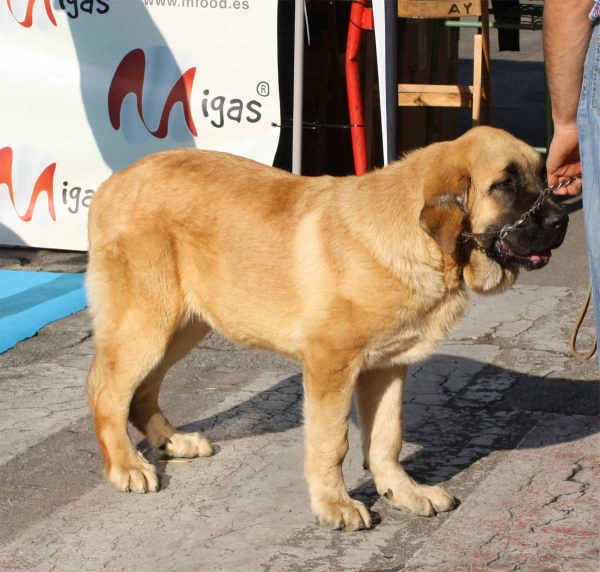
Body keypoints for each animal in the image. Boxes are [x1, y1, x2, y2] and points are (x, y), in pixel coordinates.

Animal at [84, 126, 568, 532]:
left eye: (542, 175)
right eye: (505, 185)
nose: (561, 220)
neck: (423, 242)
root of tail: (108, 186)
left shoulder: (387, 366)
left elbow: (387, 438)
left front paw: (403, 492)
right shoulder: (330, 363)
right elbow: (331, 442)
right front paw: (334, 504)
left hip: (184, 324)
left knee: (141, 392)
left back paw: (172, 443)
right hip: (148, 321)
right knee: (107, 392)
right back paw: (127, 466)